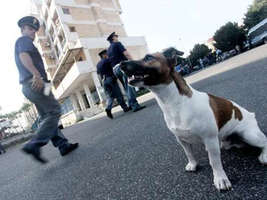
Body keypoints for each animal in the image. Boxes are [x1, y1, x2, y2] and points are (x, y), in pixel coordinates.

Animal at [120, 47, 267, 191]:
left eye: (148, 57)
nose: (120, 64)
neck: (175, 102)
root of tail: (251, 114)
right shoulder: (181, 139)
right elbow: (189, 153)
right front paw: (193, 164)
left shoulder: (210, 139)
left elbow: (214, 162)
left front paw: (220, 179)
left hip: (249, 135)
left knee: (264, 142)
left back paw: (264, 156)